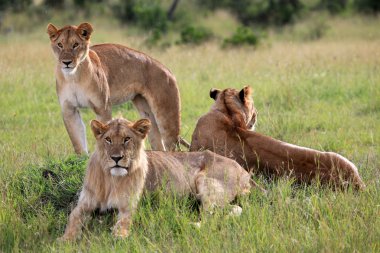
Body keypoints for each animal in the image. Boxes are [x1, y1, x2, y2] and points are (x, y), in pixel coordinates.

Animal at [47, 22, 184, 154]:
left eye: (75, 44)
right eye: (60, 45)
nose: (66, 62)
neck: (73, 77)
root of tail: (167, 69)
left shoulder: (102, 108)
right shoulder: (69, 110)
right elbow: (77, 141)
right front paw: (83, 159)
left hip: (166, 116)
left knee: (173, 146)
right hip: (145, 109)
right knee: (158, 143)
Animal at [60, 117, 262, 240]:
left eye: (127, 139)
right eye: (108, 139)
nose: (116, 158)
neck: (112, 180)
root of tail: (244, 171)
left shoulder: (128, 207)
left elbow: (123, 222)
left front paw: (119, 235)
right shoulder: (84, 204)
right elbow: (73, 218)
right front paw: (65, 239)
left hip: (204, 181)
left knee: (215, 215)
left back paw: (192, 225)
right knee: (233, 209)